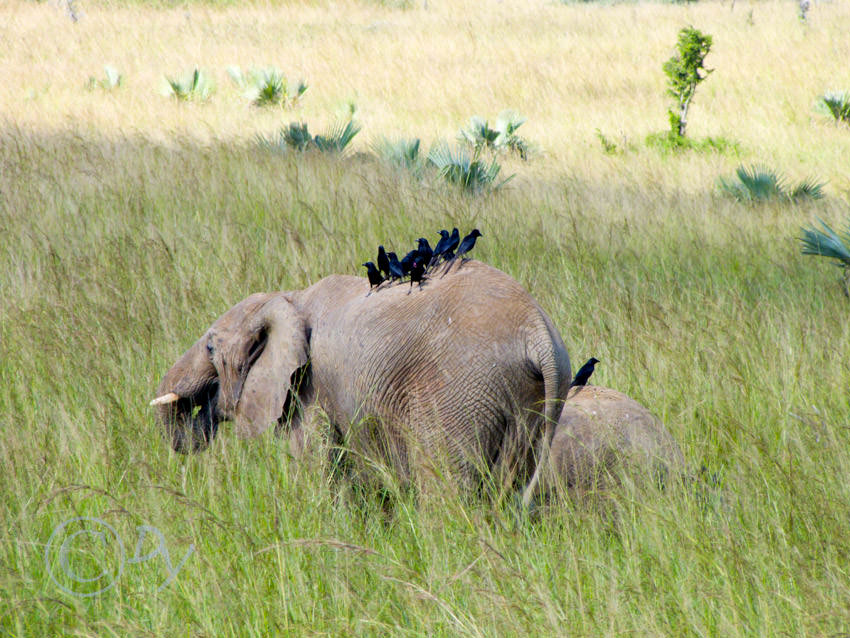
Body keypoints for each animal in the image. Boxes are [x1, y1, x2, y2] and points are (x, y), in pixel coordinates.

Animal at [151, 262, 568, 508]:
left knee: (446, 488)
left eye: (210, 346)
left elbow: (316, 472)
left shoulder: (309, 390)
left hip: (456, 393)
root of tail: (536, 330)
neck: (287, 299)